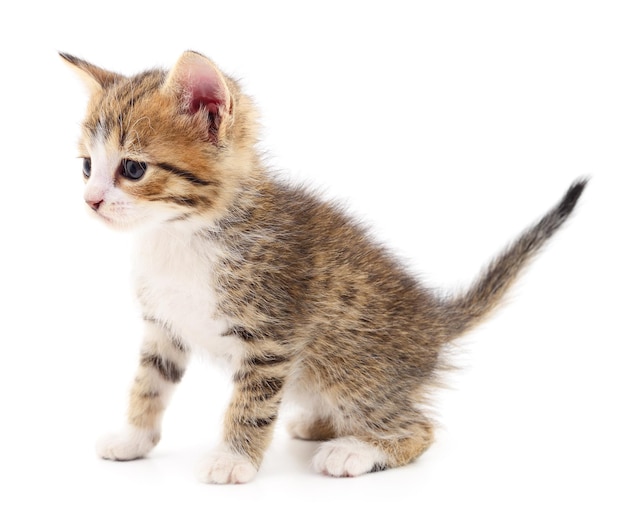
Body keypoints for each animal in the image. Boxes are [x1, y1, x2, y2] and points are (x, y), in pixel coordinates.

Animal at [59, 52, 584, 484]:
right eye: (86, 167)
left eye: (132, 169)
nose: (90, 201)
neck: (180, 234)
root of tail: (434, 321)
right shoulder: (163, 327)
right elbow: (148, 384)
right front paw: (134, 440)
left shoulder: (271, 336)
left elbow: (251, 404)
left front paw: (234, 460)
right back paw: (319, 423)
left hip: (349, 367)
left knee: (419, 427)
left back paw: (356, 450)